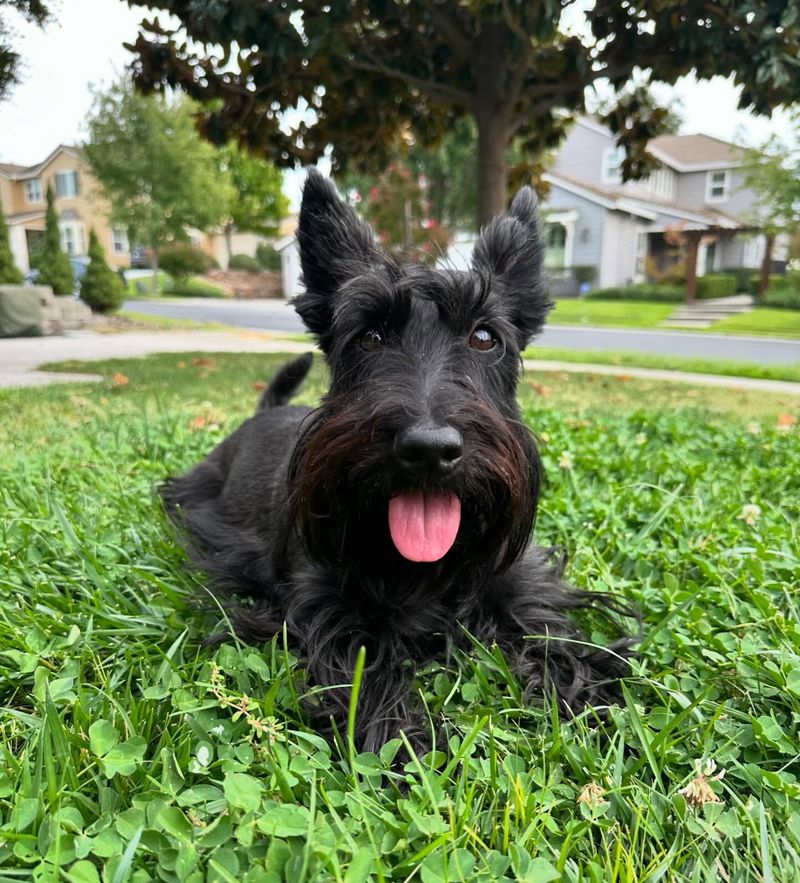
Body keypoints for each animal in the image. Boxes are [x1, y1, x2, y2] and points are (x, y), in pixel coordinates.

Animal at [162, 171, 628, 752]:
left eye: (484, 336)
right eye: (370, 335)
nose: (429, 449)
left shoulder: (518, 585)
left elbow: (546, 630)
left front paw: (590, 698)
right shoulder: (326, 607)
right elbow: (367, 663)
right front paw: (402, 742)